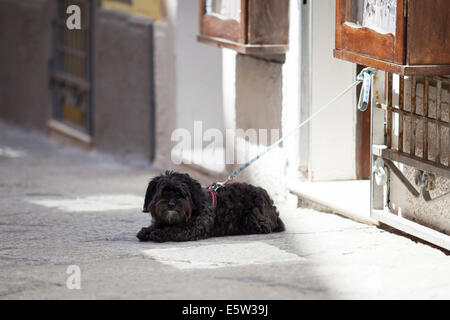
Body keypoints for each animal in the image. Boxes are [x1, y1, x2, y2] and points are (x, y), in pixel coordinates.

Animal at [137, 171, 284, 241]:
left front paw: (159, 233)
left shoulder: (193, 228)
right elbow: (155, 225)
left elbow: (174, 231)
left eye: (180, 193)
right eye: (163, 193)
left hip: (254, 218)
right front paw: (147, 230)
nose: (171, 204)